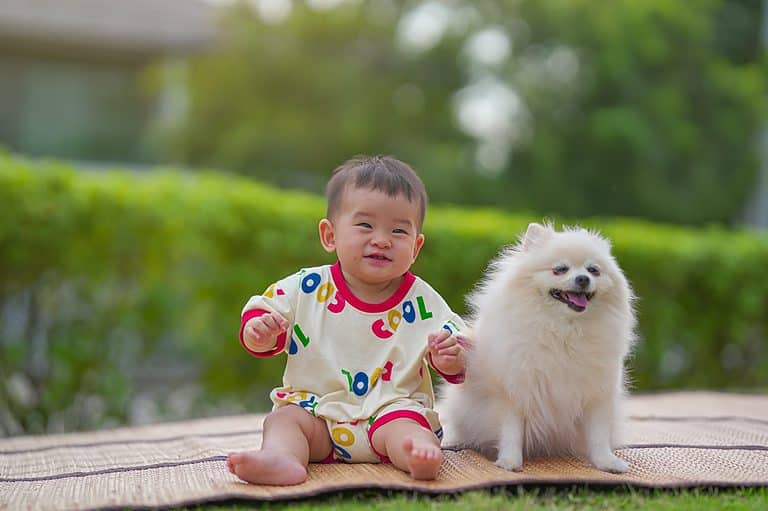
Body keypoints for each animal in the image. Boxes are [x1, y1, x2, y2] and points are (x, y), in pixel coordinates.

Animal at [438, 222, 636, 474]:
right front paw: (510, 462)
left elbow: (599, 435)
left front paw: (607, 462)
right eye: (560, 269)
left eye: (594, 270)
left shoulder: (598, 393)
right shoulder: (513, 390)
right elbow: (511, 431)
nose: (583, 279)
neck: (564, 330)